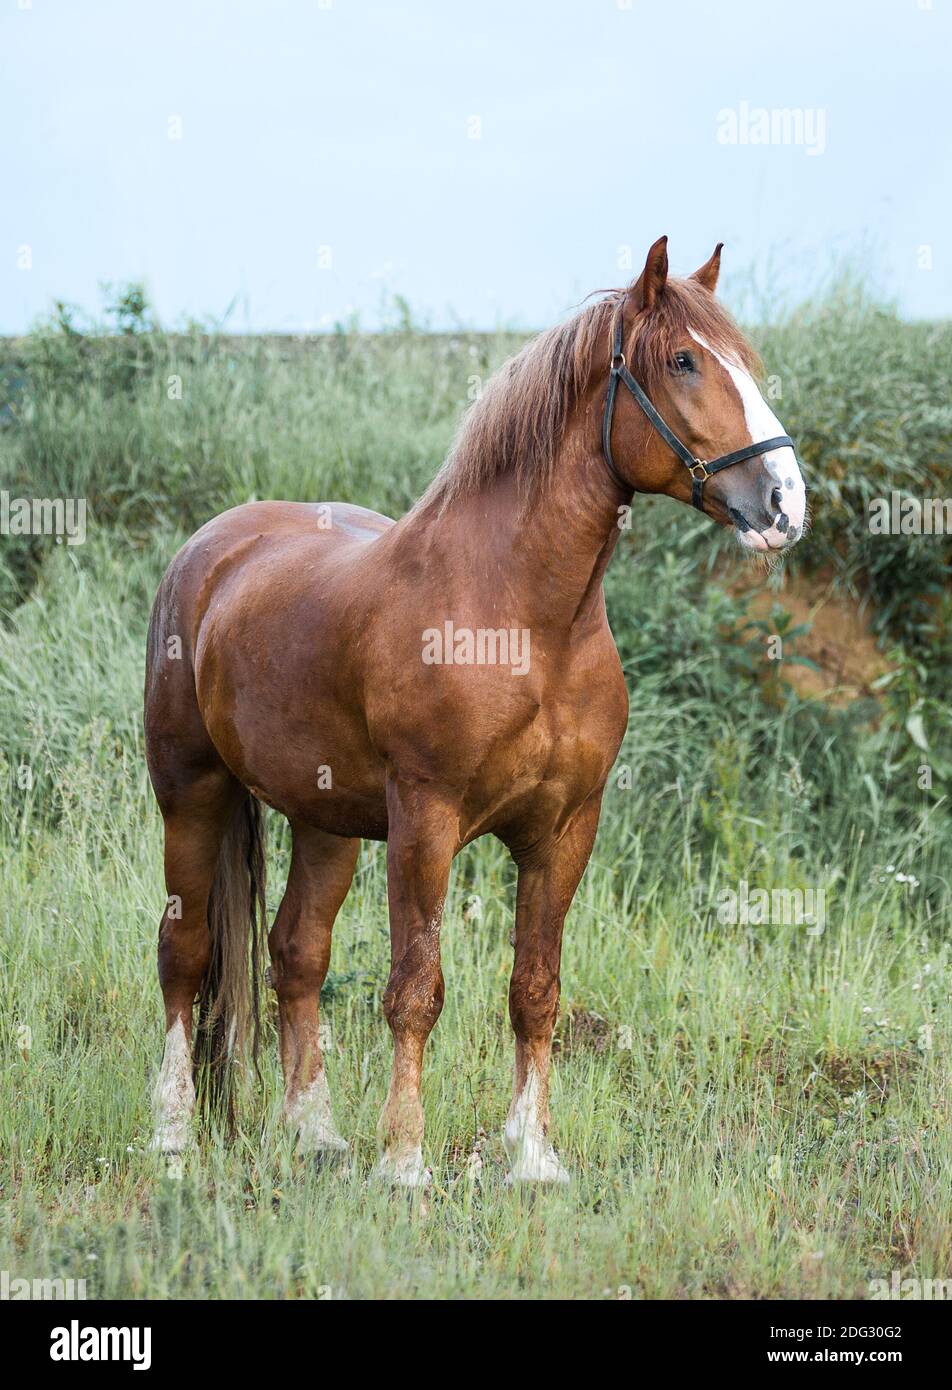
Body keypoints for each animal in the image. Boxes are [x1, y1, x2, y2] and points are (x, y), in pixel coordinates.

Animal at [144, 236, 806, 1184]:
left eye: (744, 361)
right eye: (683, 361)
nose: (786, 504)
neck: (525, 623)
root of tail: (211, 550)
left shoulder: (565, 831)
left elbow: (535, 991)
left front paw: (532, 1157)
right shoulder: (426, 823)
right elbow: (416, 990)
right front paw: (404, 1164)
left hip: (325, 823)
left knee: (296, 954)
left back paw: (316, 1134)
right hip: (191, 796)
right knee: (185, 955)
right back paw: (171, 1136)